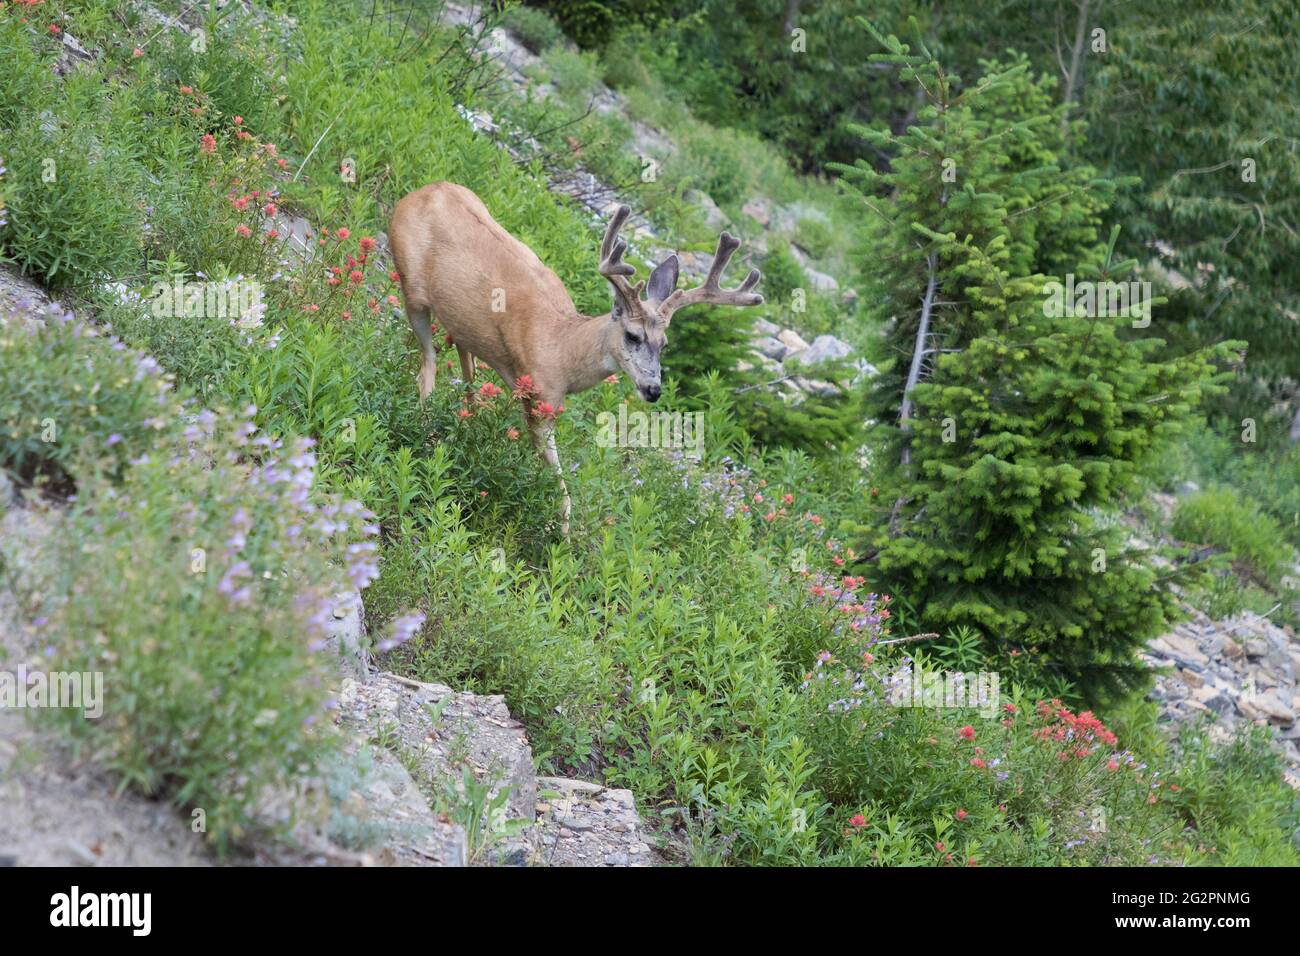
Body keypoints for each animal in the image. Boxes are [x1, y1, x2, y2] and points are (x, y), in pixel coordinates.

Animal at [384, 183, 759, 535]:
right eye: (632, 335)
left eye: (664, 343)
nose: (653, 389)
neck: (562, 347)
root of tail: (417, 193)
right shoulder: (539, 399)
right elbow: (559, 487)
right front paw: (560, 538)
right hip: (411, 287)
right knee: (427, 362)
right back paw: (427, 430)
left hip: (460, 321)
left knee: (465, 361)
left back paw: (467, 422)